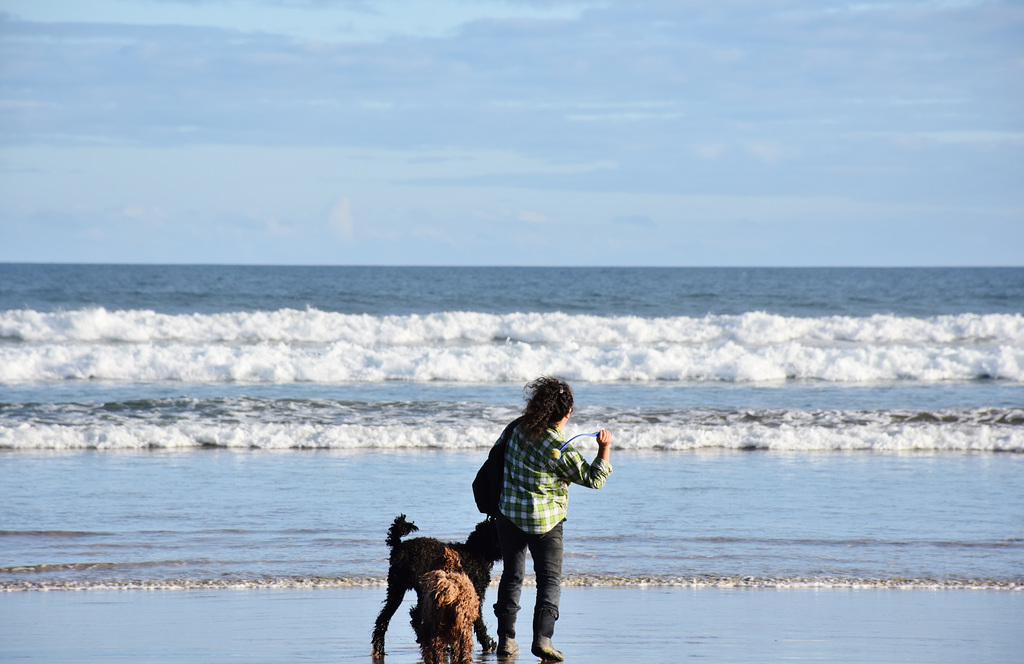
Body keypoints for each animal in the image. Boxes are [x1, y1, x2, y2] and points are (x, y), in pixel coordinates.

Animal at [376, 514, 503, 659]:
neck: (476, 552)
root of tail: (400, 548)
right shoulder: (474, 597)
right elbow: (479, 623)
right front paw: (488, 644)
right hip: (420, 591)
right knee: (415, 616)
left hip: (397, 588)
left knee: (383, 618)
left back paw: (379, 648)